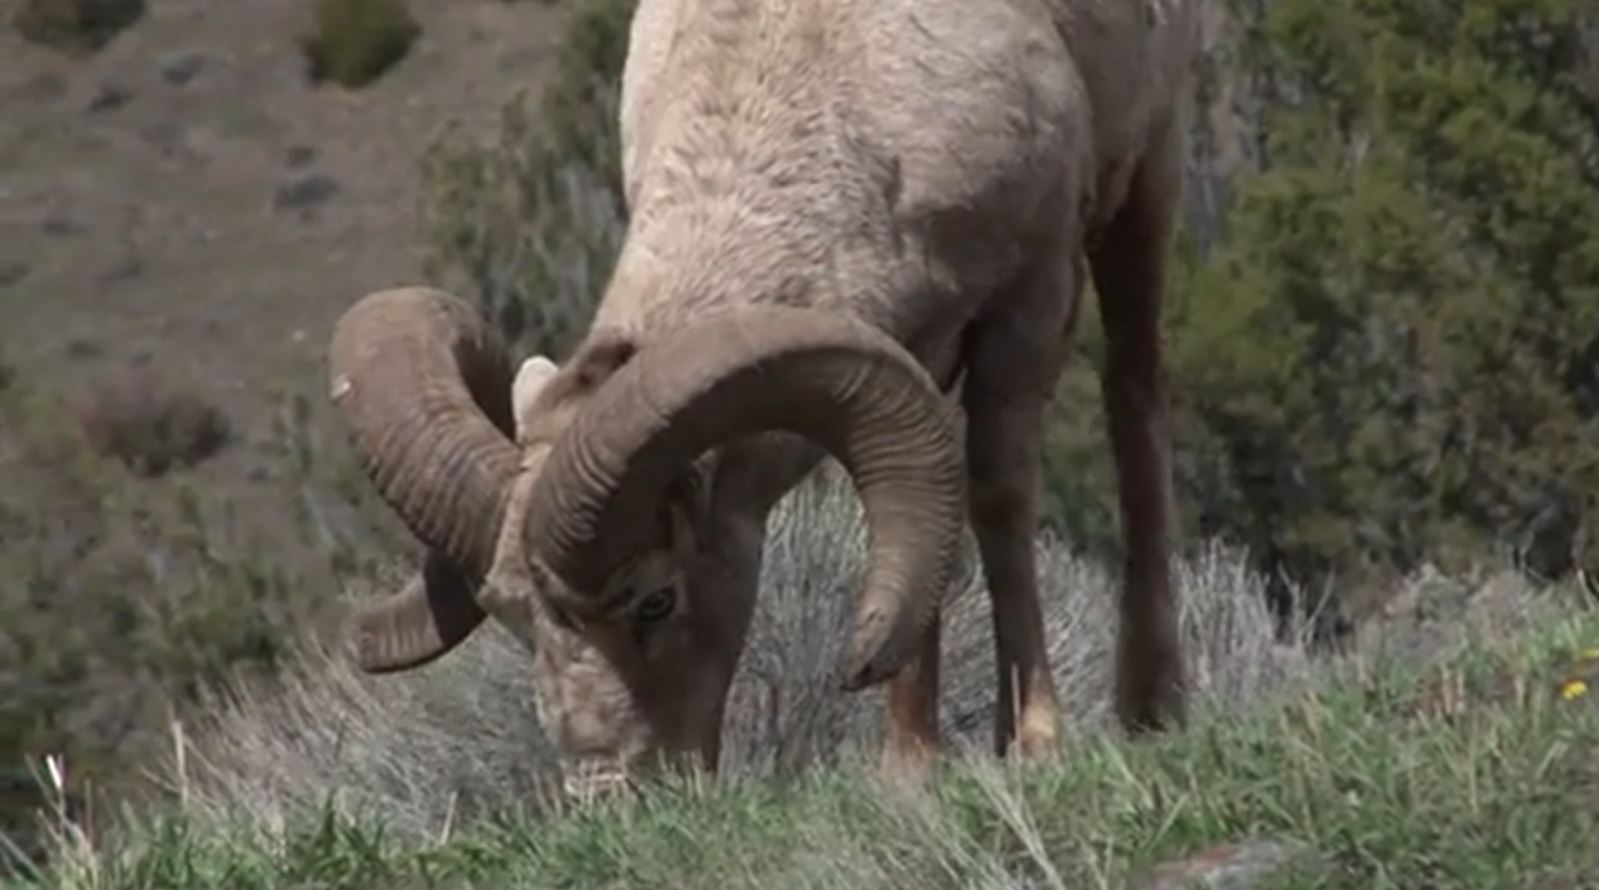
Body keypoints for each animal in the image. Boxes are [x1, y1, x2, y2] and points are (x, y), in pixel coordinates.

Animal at [328, 0, 1199, 793]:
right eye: (510, 612)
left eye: (655, 600)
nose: (611, 794)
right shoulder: (909, 352)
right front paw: (909, 770)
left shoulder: (1031, 295)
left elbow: (999, 500)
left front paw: (1037, 744)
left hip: (1147, 185)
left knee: (1134, 400)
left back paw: (1153, 706)